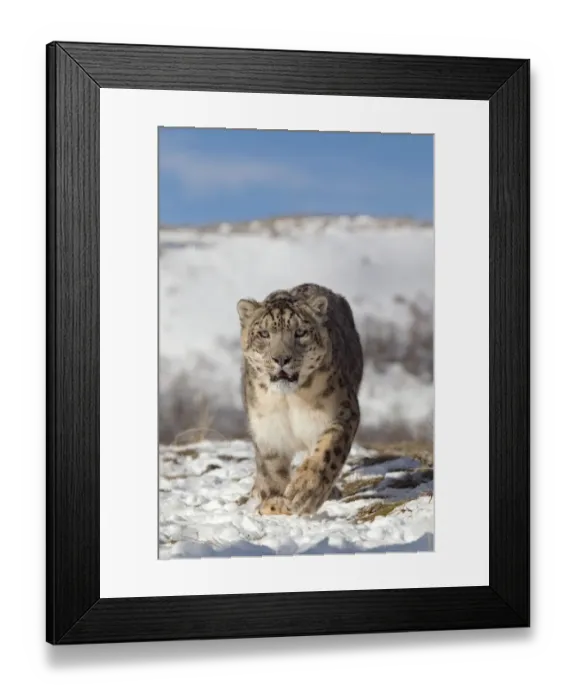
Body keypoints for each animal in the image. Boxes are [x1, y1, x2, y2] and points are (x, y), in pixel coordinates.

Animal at [236, 282, 363, 516]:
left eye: (300, 332)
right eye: (264, 333)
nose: (281, 358)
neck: (289, 400)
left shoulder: (342, 411)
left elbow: (328, 450)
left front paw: (305, 491)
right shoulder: (268, 431)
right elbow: (272, 469)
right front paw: (274, 503)